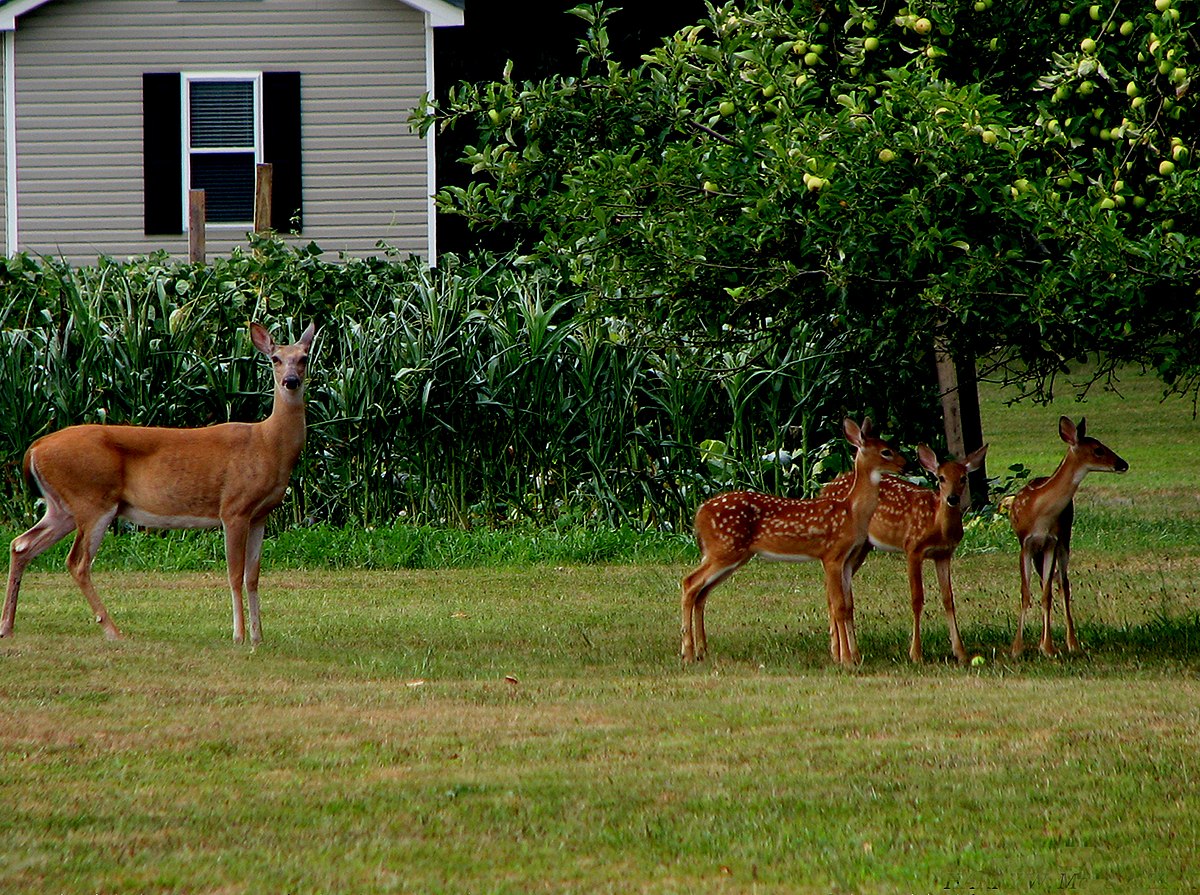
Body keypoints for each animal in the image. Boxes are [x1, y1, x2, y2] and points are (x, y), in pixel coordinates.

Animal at [3, 321, 314, 643]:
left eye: (304, 357)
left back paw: (7, 626)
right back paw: (113, 630)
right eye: (275, 358)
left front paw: (258, 637)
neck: (268, 444)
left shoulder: (260, 514)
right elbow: (234, 573)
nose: (290, 381)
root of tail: (34, 448)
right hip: (92, 500)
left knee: (21, 545)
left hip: (61, 507)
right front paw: (239, 636)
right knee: (77, 562)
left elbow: (253, 576)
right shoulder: (234, 508)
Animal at [681, 417, 902, 662]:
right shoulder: (831, 555)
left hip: (730, 555)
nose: (904, 464)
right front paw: (845, 660)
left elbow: (848, 606)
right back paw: (687, 653)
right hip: (724, 549)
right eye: (886, 451)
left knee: (701, 592)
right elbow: (838, 606)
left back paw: (701, 651)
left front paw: (853, 656)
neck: (851, 513)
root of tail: (699, 512)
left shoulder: (847, 558)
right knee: (689, 583)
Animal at [820, 441, 988, 657]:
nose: (952, 498)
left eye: (963, 478)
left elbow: (948, 599)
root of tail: (825, 489)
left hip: (861, 548)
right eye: (941, 478)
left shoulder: (944, 554)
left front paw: (960, 652)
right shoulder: (913, 548)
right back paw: (838, 651)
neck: (937, 524)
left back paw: (839, 650)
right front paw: (915, 653)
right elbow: (916, 599)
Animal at [1012, 412, 1123, 657]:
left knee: (1063, 585)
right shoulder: (1025, 544)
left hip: (1065, 541)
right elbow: (1026, 593)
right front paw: (1017, 648)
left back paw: (1072, 642)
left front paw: (1048, 647)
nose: (1123, 464)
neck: (1039, 512)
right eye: (1098, 449)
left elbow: (1047, 594)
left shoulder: (1052, 542)